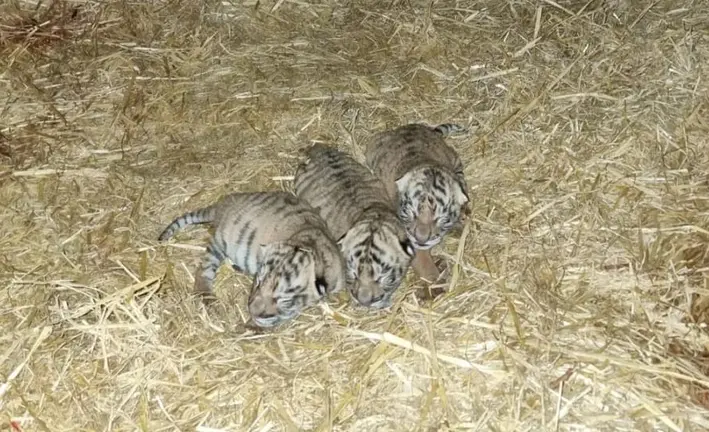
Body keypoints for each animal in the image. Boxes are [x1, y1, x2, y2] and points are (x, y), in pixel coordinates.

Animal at [158, 191, 347, 327]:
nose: (252, 311)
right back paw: (207, 297)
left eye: (282, 299)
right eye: (258, 282)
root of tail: (224, 203)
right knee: (203, 270)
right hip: (220, 242)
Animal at [364, 123, 470, 285]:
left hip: (453, 157)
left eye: (440, 218)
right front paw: (436, 283)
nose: (421, 239)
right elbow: (425, 265)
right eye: (410, 213)